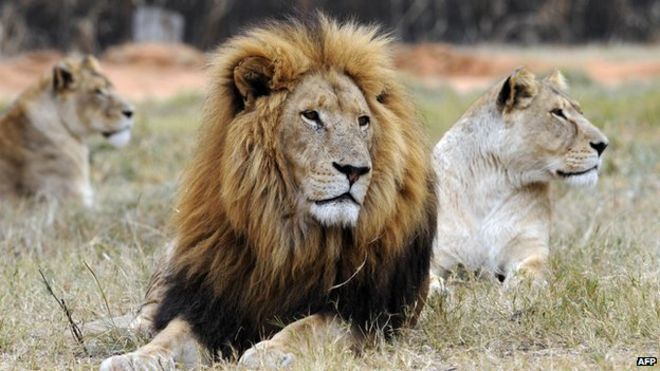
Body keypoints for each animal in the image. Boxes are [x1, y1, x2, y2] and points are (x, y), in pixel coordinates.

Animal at [100, 16, 436, 370]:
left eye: (362, 121)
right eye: (311, 116)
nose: (355, 170)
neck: (287, 232)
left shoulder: (365, 313)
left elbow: (308, 326)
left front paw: (269, 352)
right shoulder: (210, 305)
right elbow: (170, 334)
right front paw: (134, 358)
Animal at [428, 68, 608, 292]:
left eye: (580, 112)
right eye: (558, 113)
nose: (603, 145)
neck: (490, 185)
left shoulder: (530, 248)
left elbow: (530, 272)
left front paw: (517, 289)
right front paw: (436, 290)